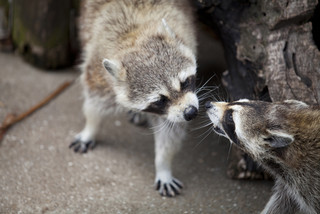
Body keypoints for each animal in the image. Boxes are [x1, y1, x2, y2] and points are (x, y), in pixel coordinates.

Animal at [70, 0, 198, 197]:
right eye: (160, 100)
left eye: (184, 83)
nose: (191, 112)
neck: (136, 36)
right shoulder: (98, 69)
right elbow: (95, 102)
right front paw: (90, 127)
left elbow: (170, 131)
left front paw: (163, 164)